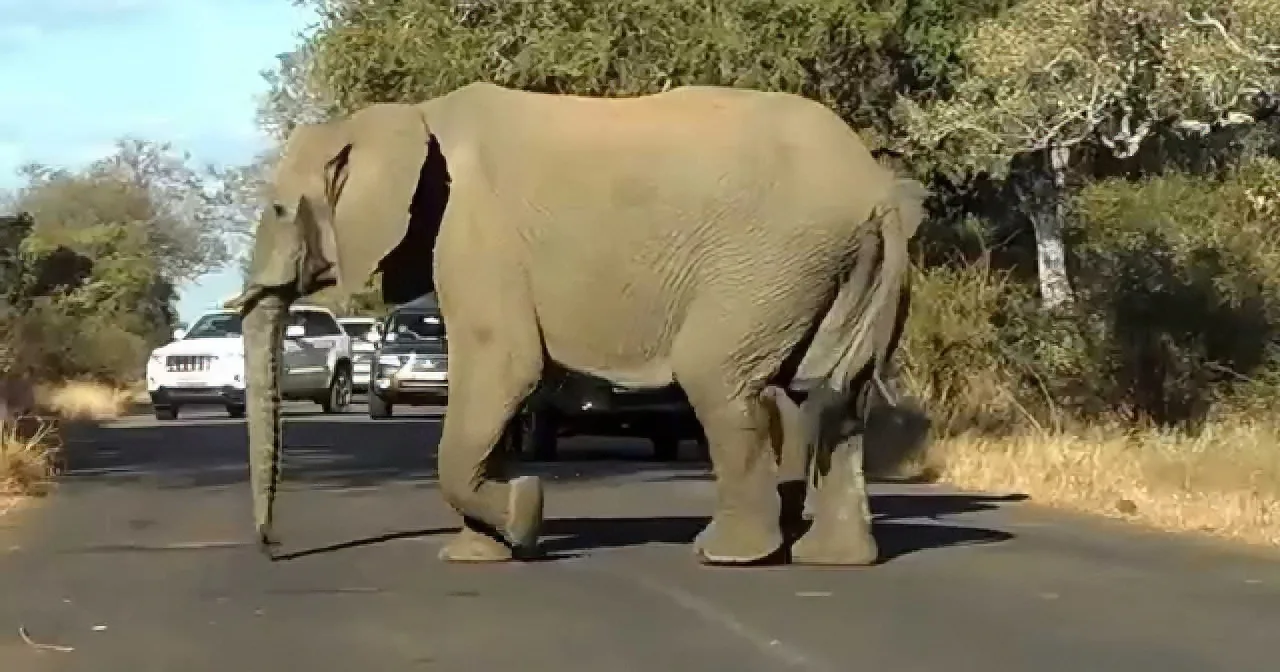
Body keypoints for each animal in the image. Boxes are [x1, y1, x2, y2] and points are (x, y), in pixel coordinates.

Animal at [225, 81, 927, 567]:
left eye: (281, 209)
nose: (272, 548)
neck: (405, 114)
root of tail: (877, 192)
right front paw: (482, 551)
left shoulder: (474, 232)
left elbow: (504, 367)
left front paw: (526, 512)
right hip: (833, 266)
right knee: (832, 398)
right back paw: (833, 560)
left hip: (769, 263)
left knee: (721, 381)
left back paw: (726, 556)